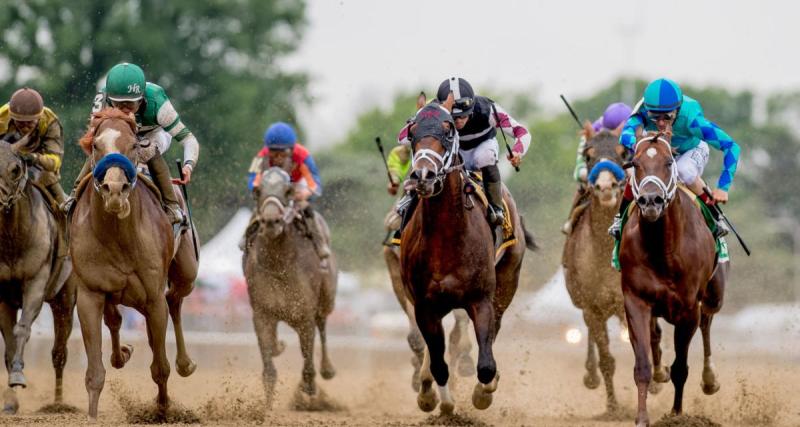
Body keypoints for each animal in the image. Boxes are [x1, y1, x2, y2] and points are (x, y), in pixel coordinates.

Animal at [0, 140, 75, 414]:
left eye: (15, 169)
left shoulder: (36, 282)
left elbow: (22, 329)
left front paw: (18, 377)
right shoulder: (3, 294)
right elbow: (9, 340)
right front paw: (11, 398)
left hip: (65, 299)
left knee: (59, 353)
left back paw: (58, 402)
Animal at [70, 108, 198, 422]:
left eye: (132, 145)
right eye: (95, 146)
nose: (114, 190)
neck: (118, 235)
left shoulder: (152, 298)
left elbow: (160, 367)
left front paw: (162, 409)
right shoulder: (89, 294)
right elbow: (95, 371)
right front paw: (92, 416)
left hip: (186, 273)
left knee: (174, 300)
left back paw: (185, 363)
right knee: (116, 319)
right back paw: (122, 353)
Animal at [241, 166, 334, 410]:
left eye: (288, 191)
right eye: (258, 191)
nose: (271, 221)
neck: (279, 264)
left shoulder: (304, 314)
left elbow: (308, 354)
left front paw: (308, 387)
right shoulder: (262, 313)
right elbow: (269, 356)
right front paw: (267, 405)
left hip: (327, 297)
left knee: (322, 326)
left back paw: (327, 369)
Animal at [400, 94, 532, 414]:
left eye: (448, 130)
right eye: (412, 132)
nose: (423, 176)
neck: (446, 236)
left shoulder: (480, 299)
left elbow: (485, 365)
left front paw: (484, 392)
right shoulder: (424, 305)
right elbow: (439, 364)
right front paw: (440, 402)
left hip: (507, 281)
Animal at [620, 132, 728, 426]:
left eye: (669, 162)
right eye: (634, 163)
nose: (651, 201)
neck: (662, 248)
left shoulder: (688, 307)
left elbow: (681, 368)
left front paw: (677, 414)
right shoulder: (636, 300)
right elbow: (642, 365)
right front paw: (642, 417)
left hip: (714, 294)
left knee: (707, 322)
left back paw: (710, 379)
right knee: (657, 334)